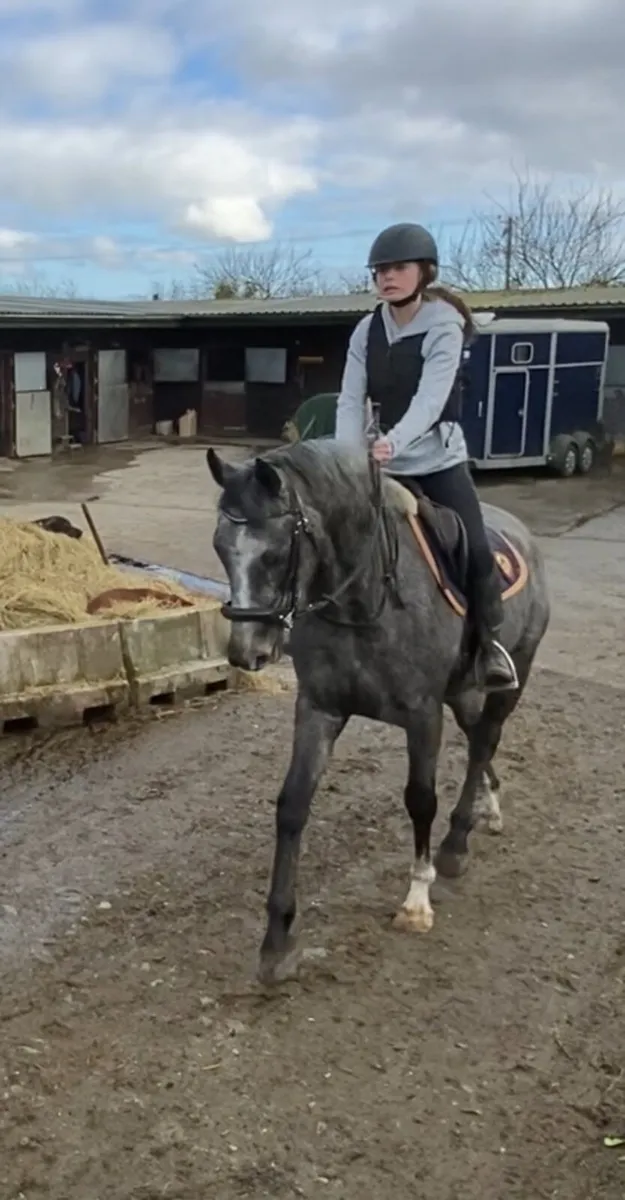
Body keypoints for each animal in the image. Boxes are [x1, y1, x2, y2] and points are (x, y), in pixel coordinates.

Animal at [206, 439, 550, 985]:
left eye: (275, 553)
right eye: (221, 548)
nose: (247, 652)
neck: (366, 600)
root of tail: (523, 536)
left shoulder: (423, 714)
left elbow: (421, 800)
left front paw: (416, 901)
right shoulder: (319, 709)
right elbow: (292, 805)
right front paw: (277, 940)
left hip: (509, 680)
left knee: (483, 743)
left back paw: (456, 844)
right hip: (462, 694)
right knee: (479, 741)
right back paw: (488, 807)